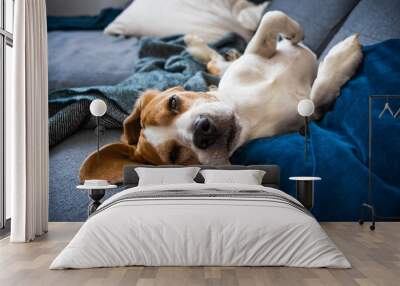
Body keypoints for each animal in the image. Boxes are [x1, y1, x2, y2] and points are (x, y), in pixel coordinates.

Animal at [80, 11, 362, 183]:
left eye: (173, 103)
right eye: (174, 156)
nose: (202, 130)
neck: (246, 112)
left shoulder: (255, 53)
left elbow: (270, 19)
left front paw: (295, 34)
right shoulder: (308, 119)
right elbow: (316, 95)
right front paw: (342, 58)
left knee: (216, 63)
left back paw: (203, 44)